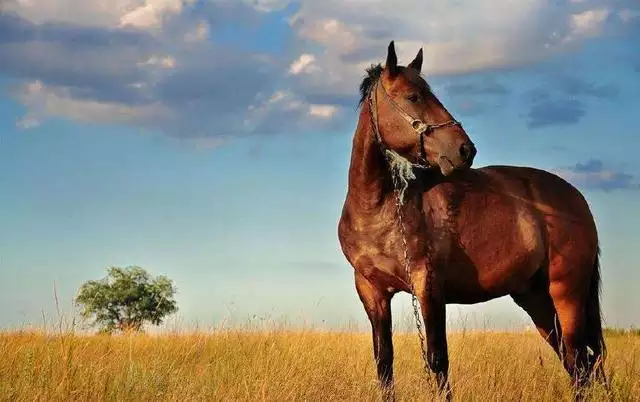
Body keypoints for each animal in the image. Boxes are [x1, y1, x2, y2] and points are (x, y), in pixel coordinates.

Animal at [338, 40, 608, 398]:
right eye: (413, 97)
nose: (465, 150)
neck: (379, 208)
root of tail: (577, 199)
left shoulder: (428, 286)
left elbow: (438, 361)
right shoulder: (372, 291)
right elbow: (384, 364)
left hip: (567, 293)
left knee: (580, 362)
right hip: (534, 298)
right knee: (575, 362)